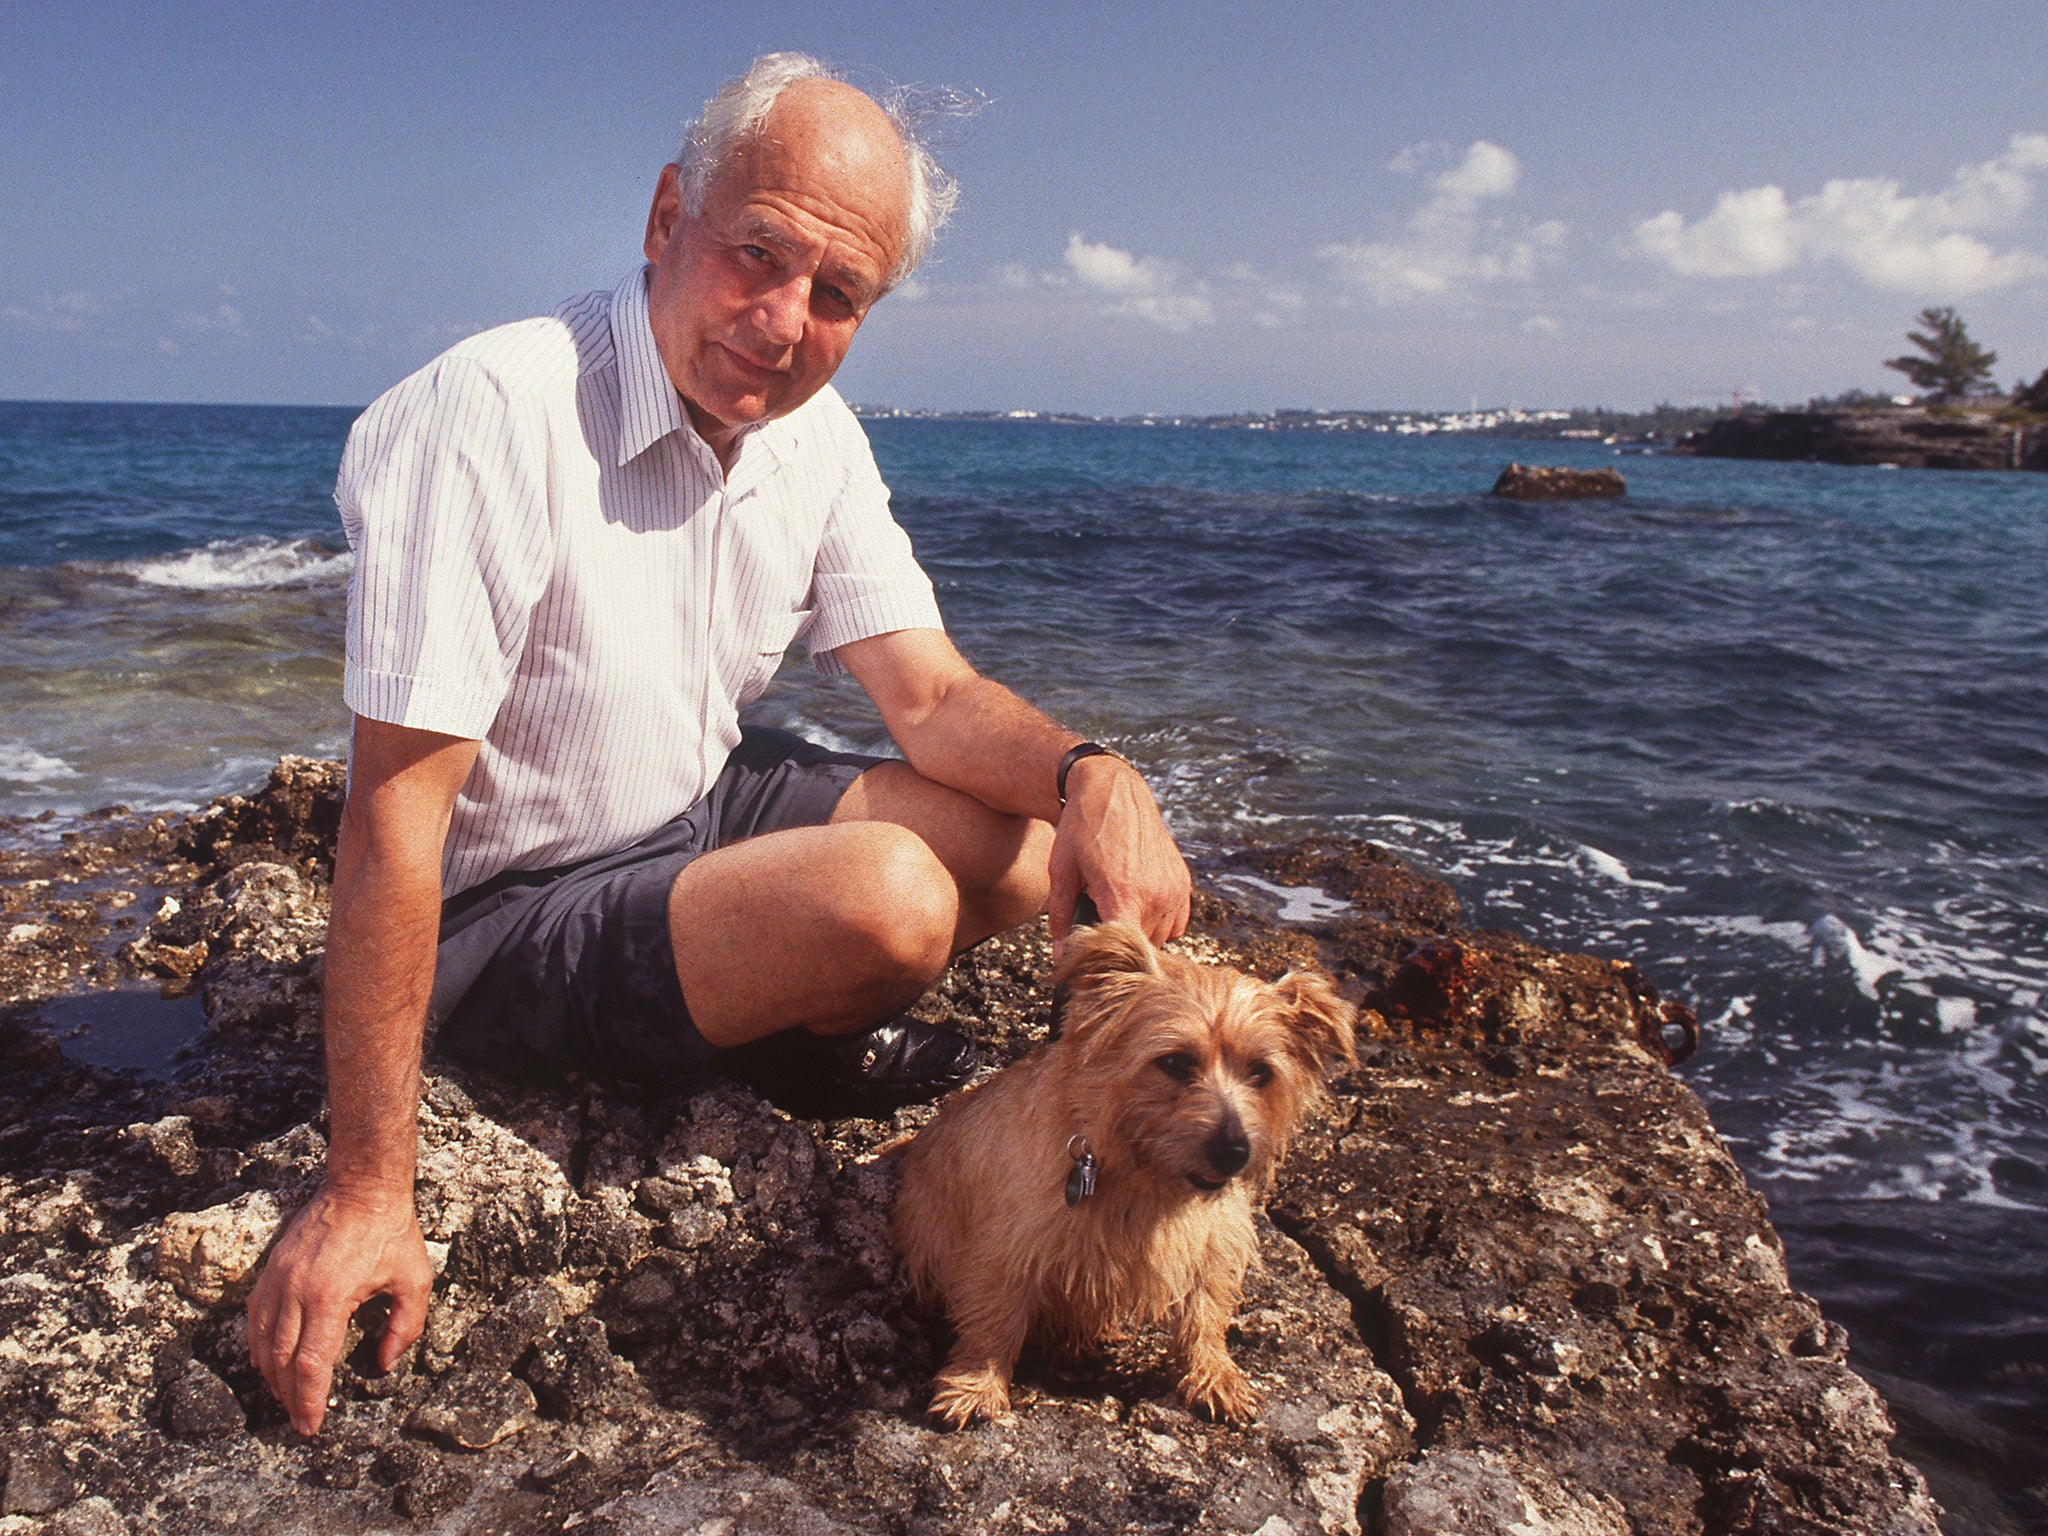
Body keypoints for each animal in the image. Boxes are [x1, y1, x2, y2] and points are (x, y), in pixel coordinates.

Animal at [888, 913, 1351, 1433]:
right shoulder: (1007, 1246)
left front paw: (1215, 1373)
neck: (1143, 1180)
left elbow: (1207, 1309)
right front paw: (975, 1385)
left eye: (1261, 1073)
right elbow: (994, 1317)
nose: (1234, 1151)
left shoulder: (1214, 1240)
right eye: (1175, 1062)